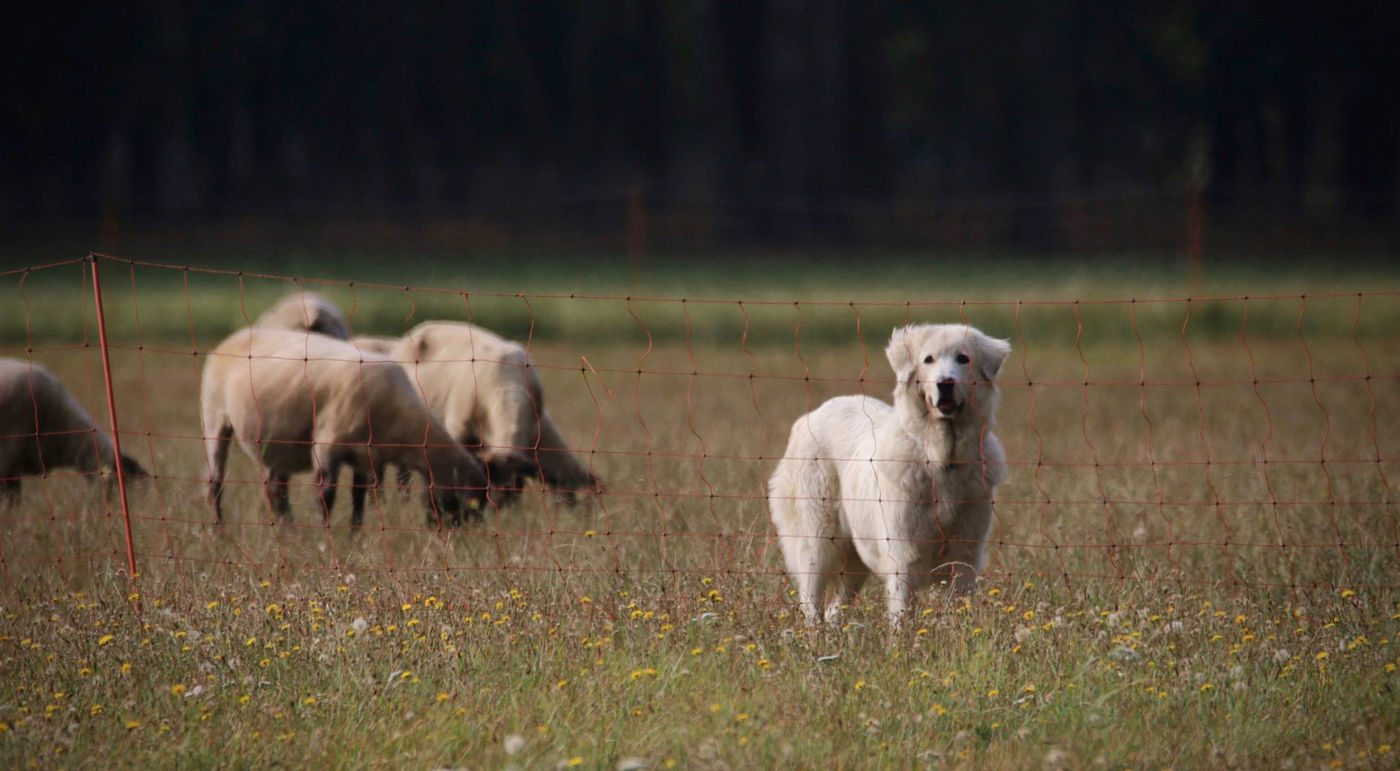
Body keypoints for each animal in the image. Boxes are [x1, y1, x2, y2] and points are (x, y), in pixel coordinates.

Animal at [200, 328, 490, 528]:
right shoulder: (327, 445)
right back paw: (219, 532)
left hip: (275, 441)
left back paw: (287, 532)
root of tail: (234, 337)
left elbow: (358, 501)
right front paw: (325, 539)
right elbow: (326, 497)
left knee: (275, 490)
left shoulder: (365, 456)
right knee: (215, 483)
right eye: (470, 504)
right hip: (214, 418)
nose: (465, 543)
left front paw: (354, 538)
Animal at [772, 323, 1013, 624]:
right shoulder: (903, 553)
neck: (939, 461)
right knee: (811, 602)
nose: (945, 383)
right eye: (928, 360)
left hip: (854, 561)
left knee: (833, 609)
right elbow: (902, 611)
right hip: (817, 541)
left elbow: (958, 607)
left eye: (963, 359)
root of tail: (810, 417)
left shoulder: (964, 554)